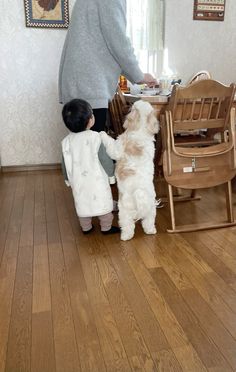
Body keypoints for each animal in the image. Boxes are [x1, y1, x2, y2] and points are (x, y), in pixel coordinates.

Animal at [100, 99, 159, 240]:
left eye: (132, 107)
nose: (130, 104)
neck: (141, 129)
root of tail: (139, 191)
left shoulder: (118, 146)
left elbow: (111, 145)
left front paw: (102, 133)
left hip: (124, 210)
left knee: (127, 225)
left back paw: (125, 236)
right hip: (150, 209)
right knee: (148, 221)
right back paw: (151, 231)